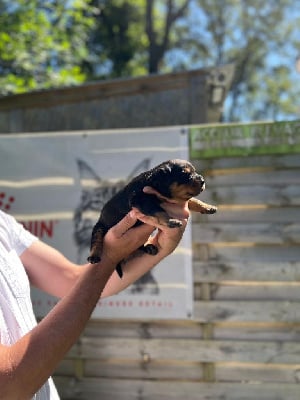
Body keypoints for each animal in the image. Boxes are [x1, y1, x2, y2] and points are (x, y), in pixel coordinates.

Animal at [88, 158, 217, 276]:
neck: (152, 183)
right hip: (99, 227)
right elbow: (159, 210)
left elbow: (193, 200)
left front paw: (208, 207)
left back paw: (149, 247)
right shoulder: (140, 199)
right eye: (185, 174)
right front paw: (171, 220)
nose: (203, 181)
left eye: (194, 171)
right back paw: (94, 256)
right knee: (96, 240)